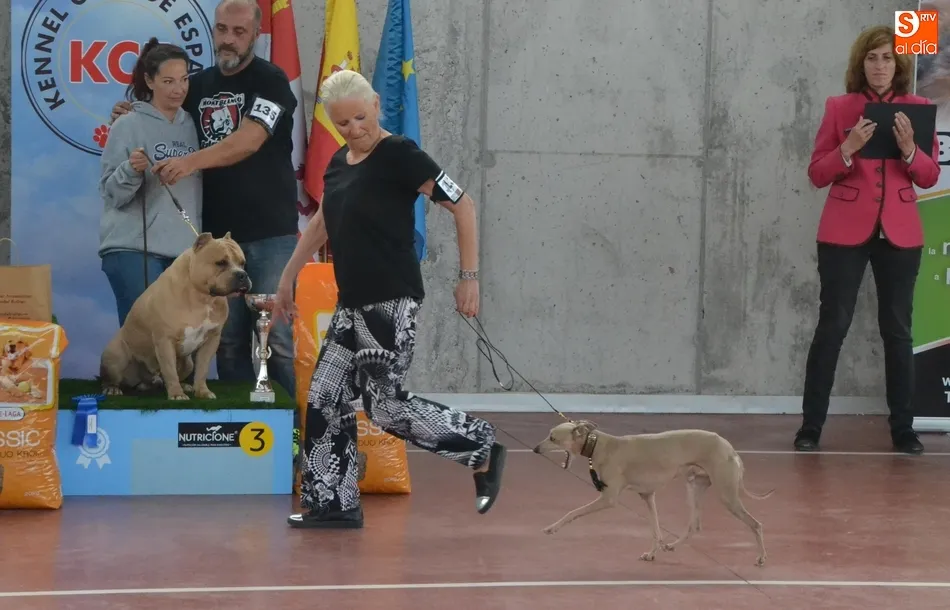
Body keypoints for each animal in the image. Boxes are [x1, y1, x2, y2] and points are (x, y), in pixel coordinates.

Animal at [99, 232, 251, 401]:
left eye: (243, 263)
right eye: (221, 263)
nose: (242, 275)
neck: (203, 298)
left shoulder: (211, 340)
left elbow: (202, 370)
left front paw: (202, 391)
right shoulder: (165, 341)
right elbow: (170, 370)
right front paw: (177, 395)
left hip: (187, 364)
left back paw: (183, 385)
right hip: (116, 357)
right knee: (111, 378)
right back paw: (112, 389)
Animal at [533, 420, 774, 567]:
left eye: (552, 437)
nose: (535, 449)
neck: (600, 444)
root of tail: (729, 448)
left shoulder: (608, 499)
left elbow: (572, 512)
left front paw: (552, 528)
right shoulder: (648, 496)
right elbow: (656, 531)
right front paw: (651, 553)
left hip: (727, 496)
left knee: (756, 524)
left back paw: (762, 557)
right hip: (694, 487)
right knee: (694, 525)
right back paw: (672, 546)